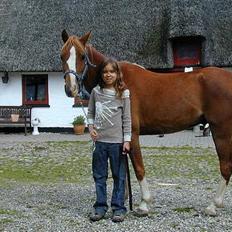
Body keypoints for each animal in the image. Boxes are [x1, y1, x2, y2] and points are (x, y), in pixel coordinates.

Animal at [60, 29, 232, 217]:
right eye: (62, 56)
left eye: (82, 56)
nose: (71, 89)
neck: (119, 82)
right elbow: (121, 170)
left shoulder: (132, 135)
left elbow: (138, 168)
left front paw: (143, 204)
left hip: (221, 131)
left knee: (225, 166)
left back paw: (213, 205)